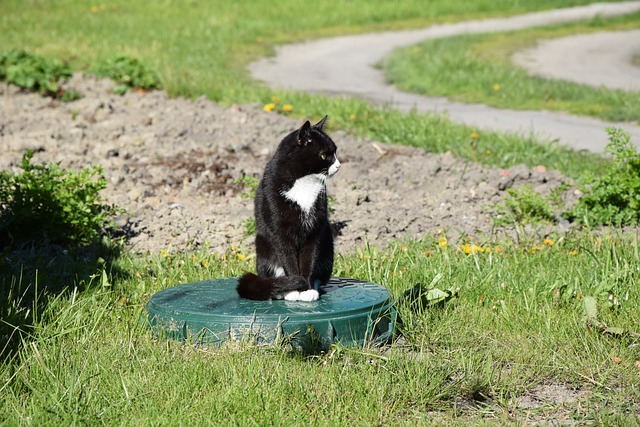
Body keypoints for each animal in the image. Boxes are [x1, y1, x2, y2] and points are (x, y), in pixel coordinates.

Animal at [238, 114, 340, 300]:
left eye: (335, 152)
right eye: (324, 155)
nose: (338, 165)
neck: (304, 183)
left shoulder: (314, 230)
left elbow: (309, 261)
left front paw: (307, 289)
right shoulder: (279, 231)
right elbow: (288, 260)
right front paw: (294, 289)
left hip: (328, 244)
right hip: (262, 244)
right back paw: (280, 290)